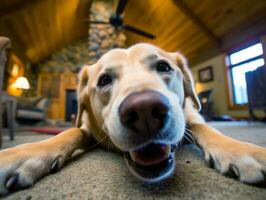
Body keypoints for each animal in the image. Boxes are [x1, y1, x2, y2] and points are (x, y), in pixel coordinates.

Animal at [0, 43, 266, 195]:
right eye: (104, 80)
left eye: (163, 67)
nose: (145, 110)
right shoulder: (85, 128)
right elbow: (71, 131)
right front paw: (22, 154)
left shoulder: (193, 118)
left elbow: (207, 130)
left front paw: (241, 150)